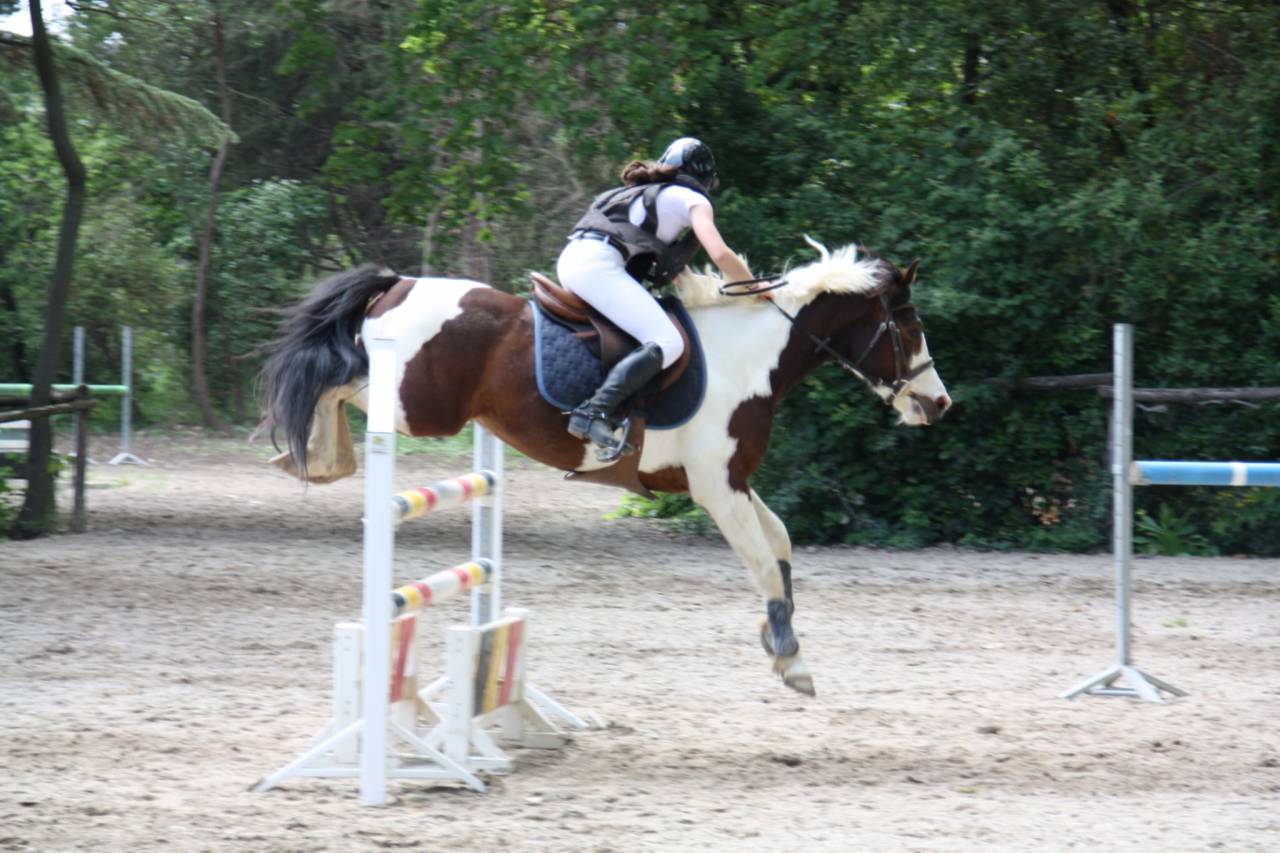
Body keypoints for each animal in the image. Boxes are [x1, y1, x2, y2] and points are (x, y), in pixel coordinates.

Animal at [260, 238, 951, 696]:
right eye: (908, 326)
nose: (938, 403)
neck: (749, 358)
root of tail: (400, 283)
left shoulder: (730, 482)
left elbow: (778, 548)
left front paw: (776, 637)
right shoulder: (717, 489)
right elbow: (762, 560)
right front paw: (790, 658)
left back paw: (308, 455)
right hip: (416, 405)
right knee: (335, 378)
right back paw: (316, 453)